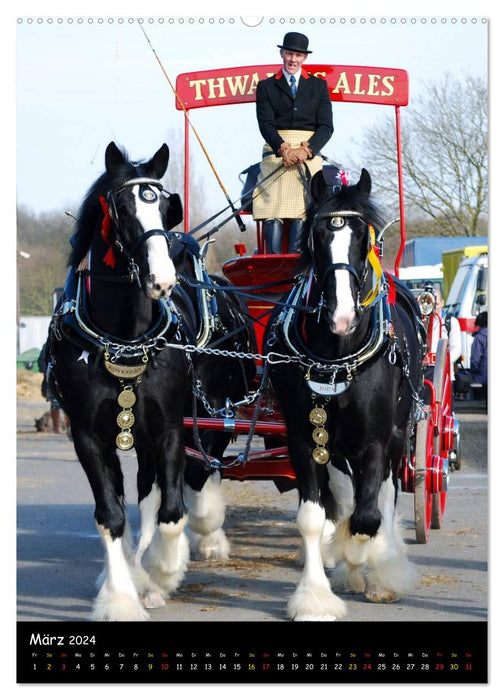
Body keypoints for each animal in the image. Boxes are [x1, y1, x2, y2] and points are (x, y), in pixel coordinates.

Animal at [46, 141, 192, 616]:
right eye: (123, 209)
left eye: (166, 207)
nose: (162, 280)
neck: (124, 338)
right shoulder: (87, 436)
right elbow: (110, 516)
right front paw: (121, 598)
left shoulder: (169, 430)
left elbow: (170, 512)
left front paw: (163, 573)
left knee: (150, 498)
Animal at [266, 168, 424, 616]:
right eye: (317, 235)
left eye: (362, 237)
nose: (342, 316)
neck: (337, 355)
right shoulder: (305, 438)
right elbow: (314, 517)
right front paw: (316, 597)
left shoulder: (374, 440)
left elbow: (368, 516)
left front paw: (363, 559)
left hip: (397, 434)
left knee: (384, 496)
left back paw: (382, 567)